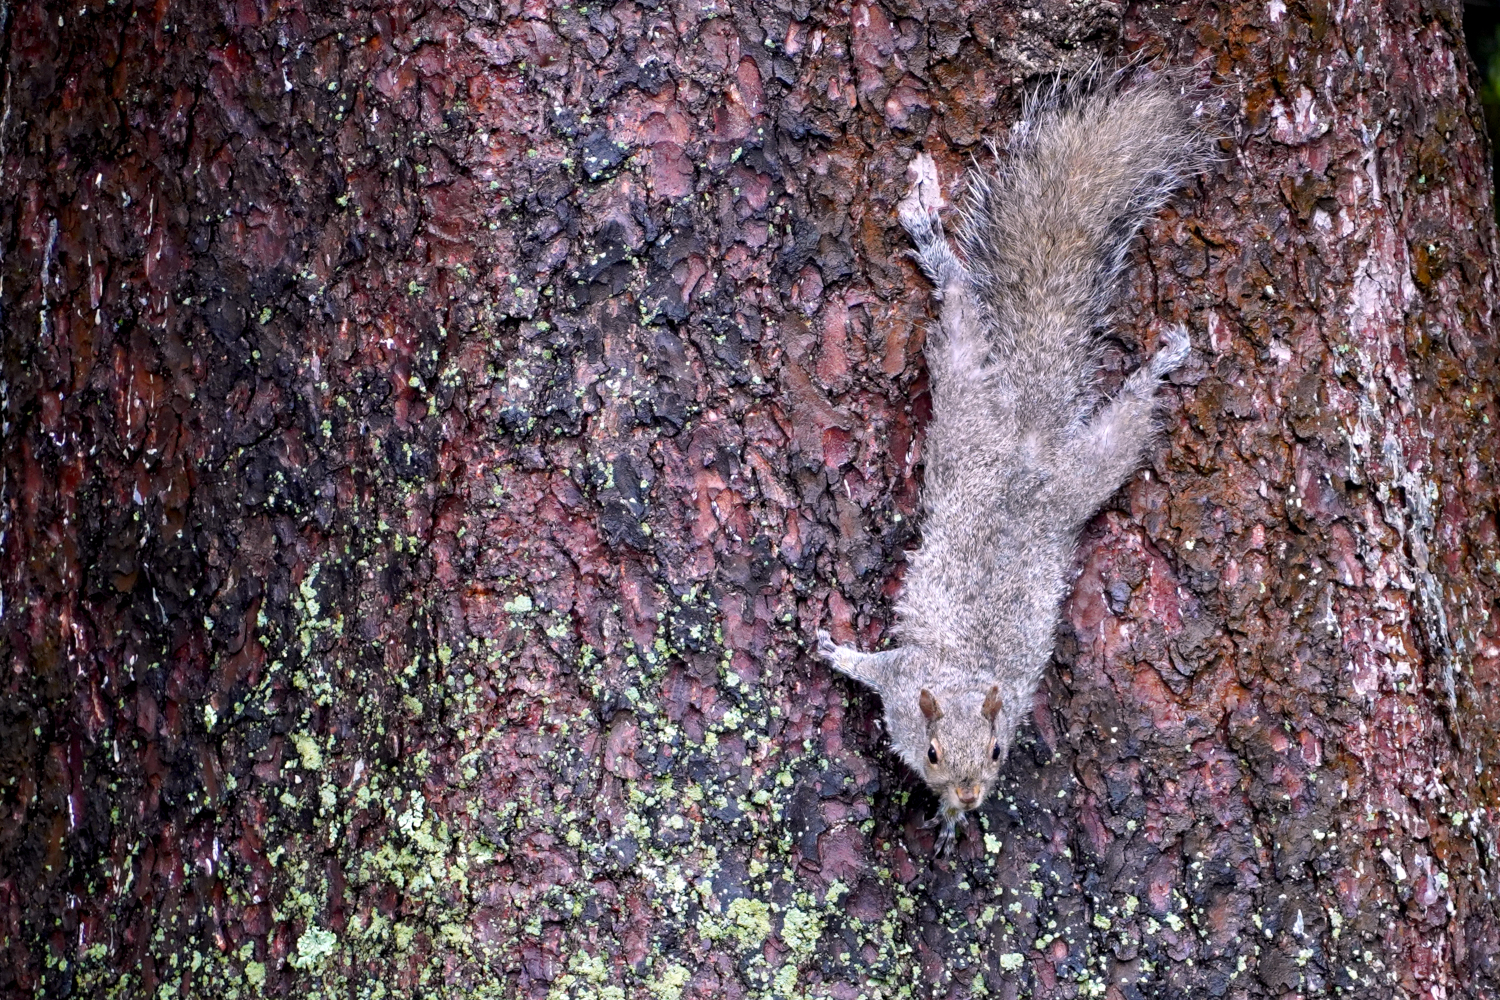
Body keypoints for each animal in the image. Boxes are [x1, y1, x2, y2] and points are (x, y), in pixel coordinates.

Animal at [817, 70, 1213, 853]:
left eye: (999, 751)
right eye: (933, 751)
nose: (972, 793)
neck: (967, 679)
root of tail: (1029, 432)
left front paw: (949, 818)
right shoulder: (904, 680)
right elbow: (873, 668)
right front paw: (837, 654)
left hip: (1087, 469)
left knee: (1123, 413)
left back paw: (1159, 363)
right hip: (967, 400)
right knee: (959, 305)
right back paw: (929, 233)